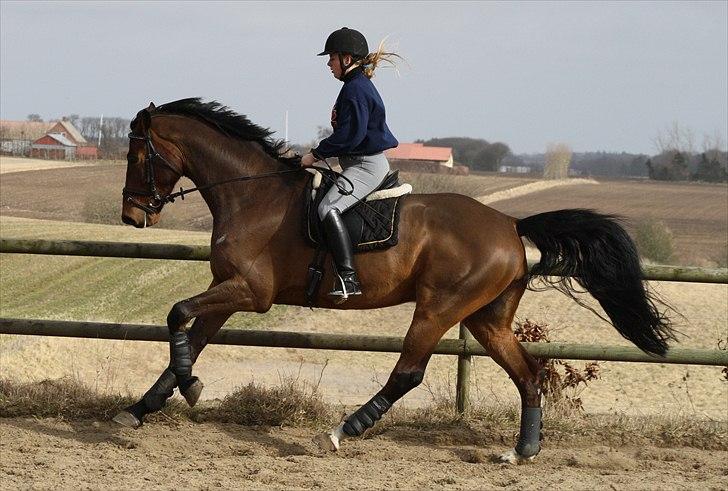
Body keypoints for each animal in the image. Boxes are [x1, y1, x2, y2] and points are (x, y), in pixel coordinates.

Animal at [114, 98, 676, 464]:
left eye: (137, 154)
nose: (131, 216)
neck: (251, 194)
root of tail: (510, 226)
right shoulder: (229, 293)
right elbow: (190, 338)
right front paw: (146, 406)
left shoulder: (251, 294)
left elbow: (177, 314)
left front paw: (187, 389)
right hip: (487, 318)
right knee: (527, 373)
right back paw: (523, 451)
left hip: (439, 309)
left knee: (408, 373)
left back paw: (342, 431)